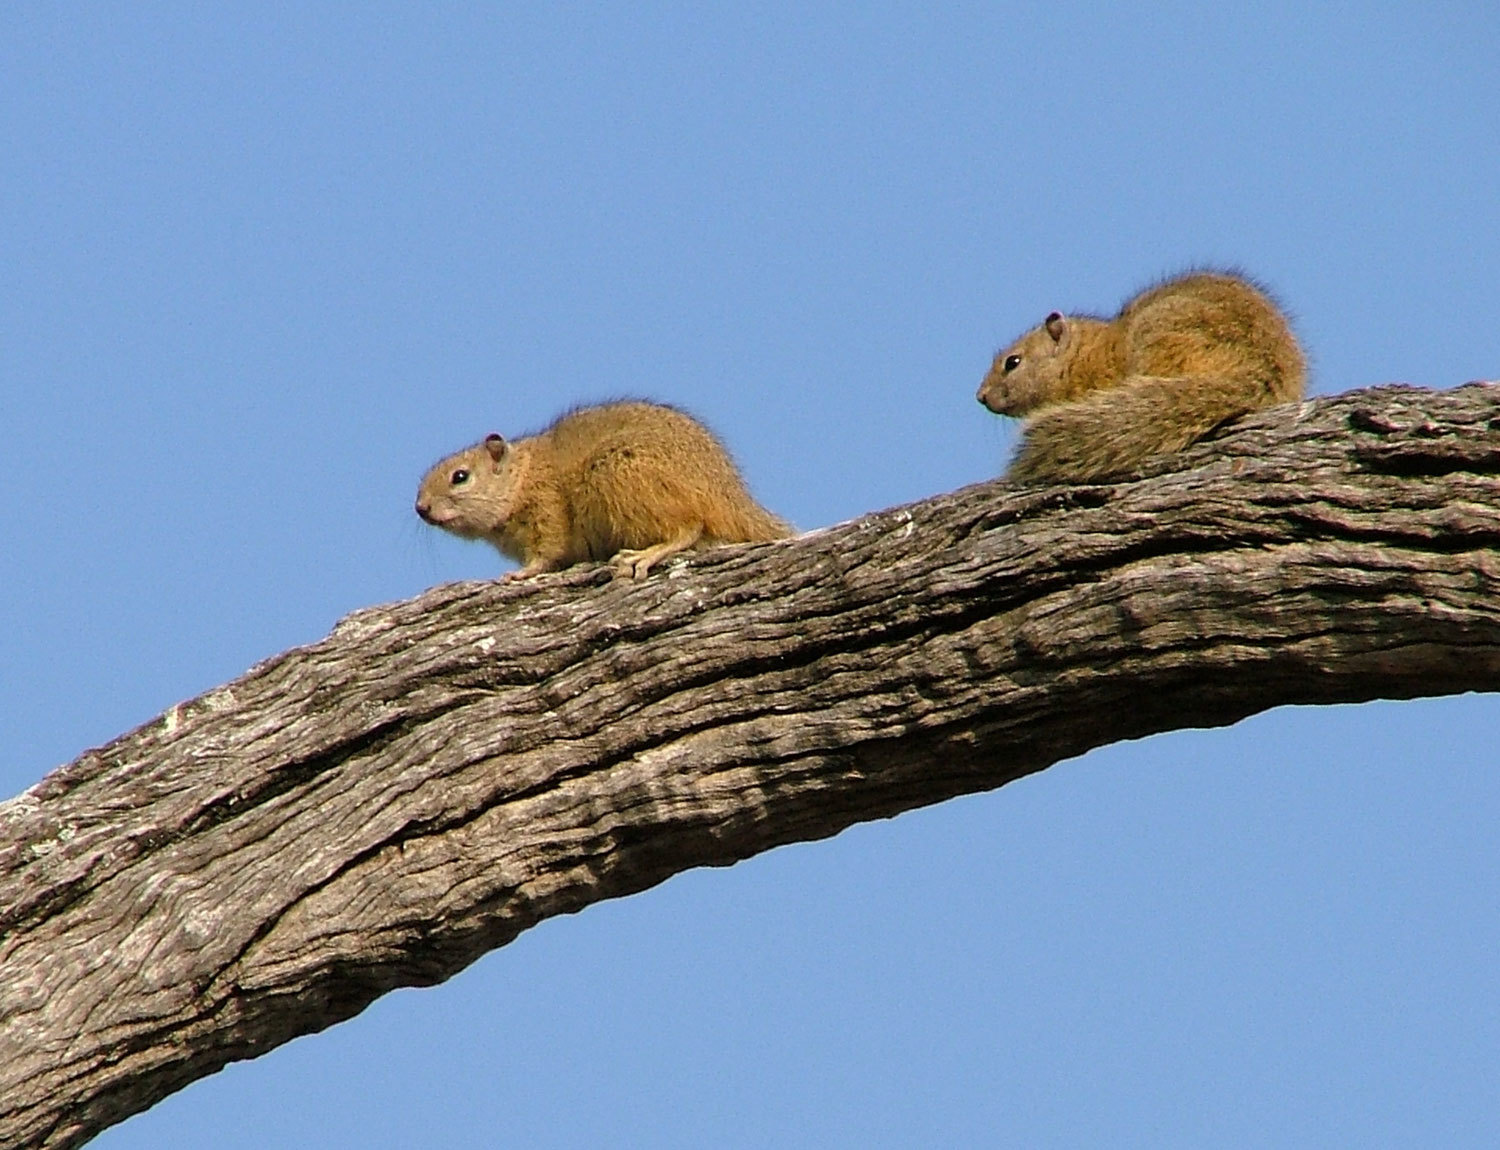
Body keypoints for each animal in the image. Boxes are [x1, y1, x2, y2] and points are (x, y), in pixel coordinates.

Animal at [411, 401, 786, 581]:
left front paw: (521, 574)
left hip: (618, 474)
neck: (520, 478)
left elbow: (546, 553)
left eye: (460, 477)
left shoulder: (547, 510)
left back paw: (643, 555)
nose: (421, 508)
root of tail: (729, 494)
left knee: (688, 528)